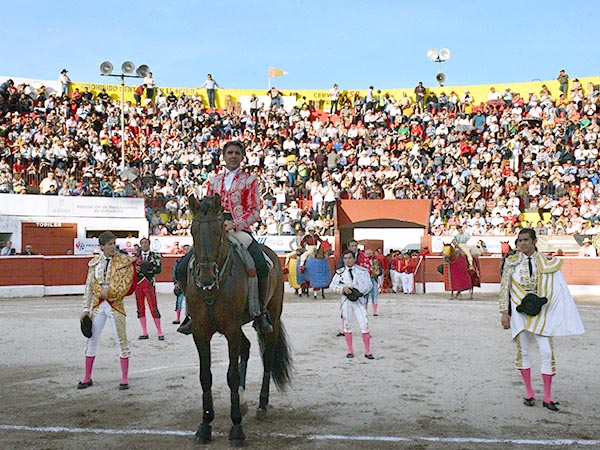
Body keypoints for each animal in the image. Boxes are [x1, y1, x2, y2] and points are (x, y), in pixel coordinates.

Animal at [185, 193, 292, 446]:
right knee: (247, 346)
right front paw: (205, 425)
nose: (206, 277)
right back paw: (242, 401)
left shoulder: (231, 330)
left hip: (272, 318)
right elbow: (205, 376)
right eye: (193, 231)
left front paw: (236, 429)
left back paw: (261, 405)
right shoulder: (200, 331)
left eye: (218, 232)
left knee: (267, 356)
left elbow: (231, 375)